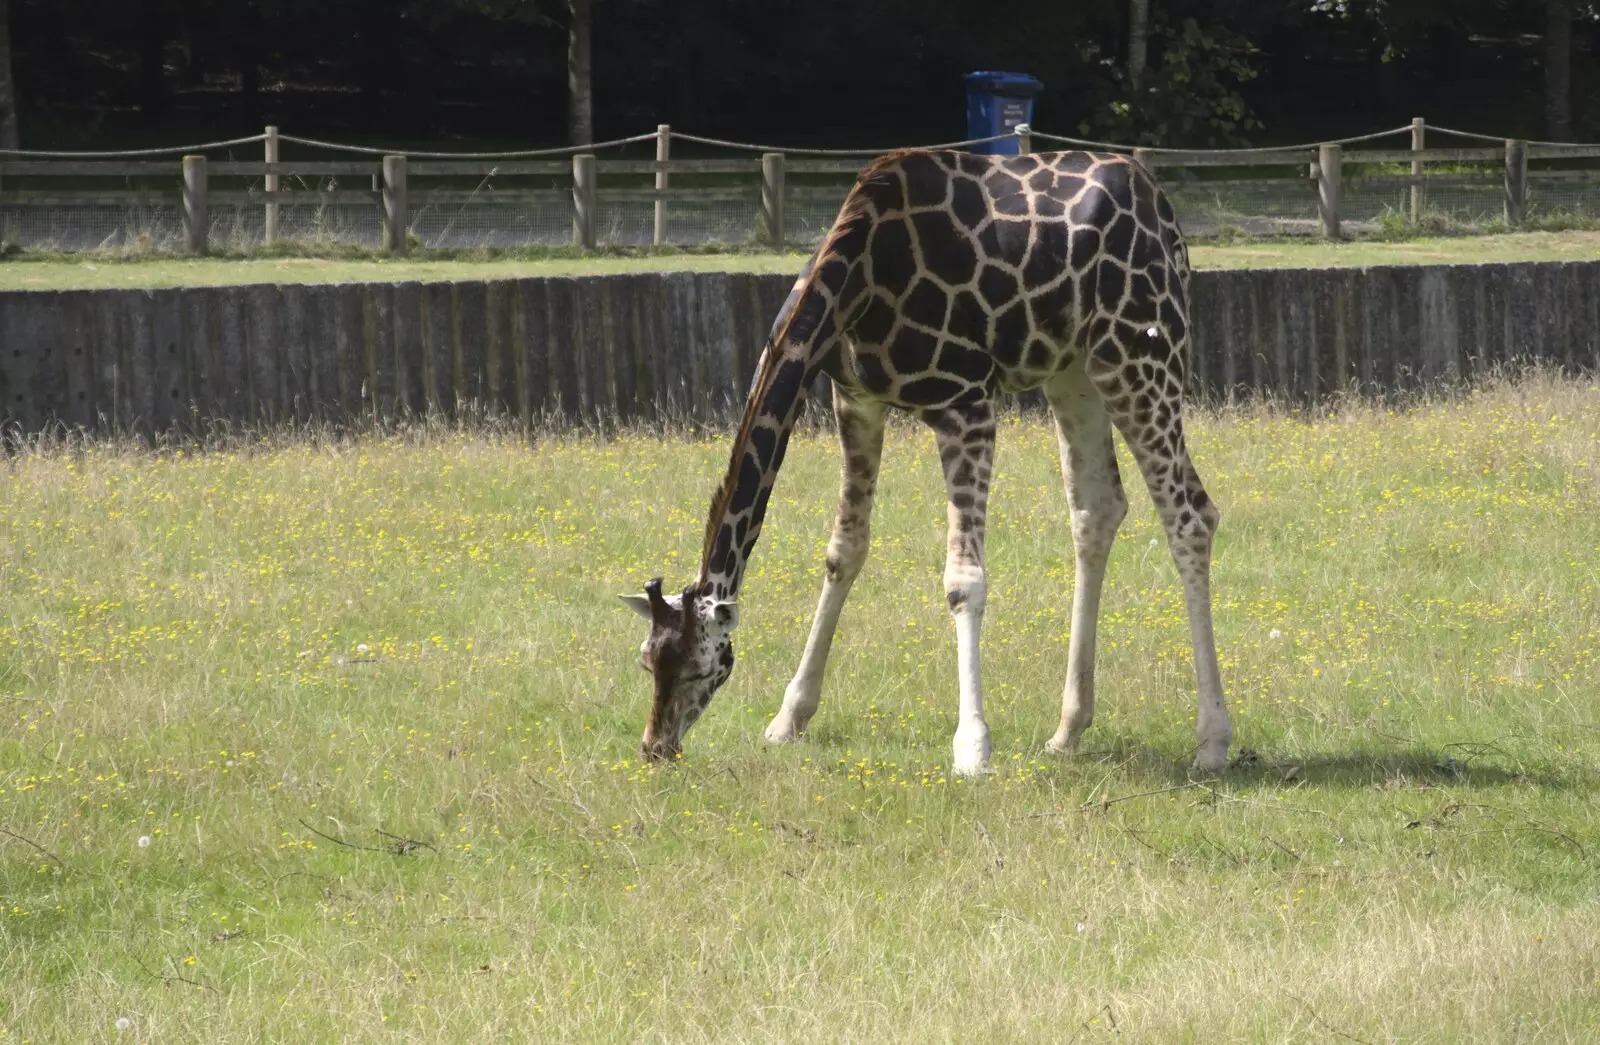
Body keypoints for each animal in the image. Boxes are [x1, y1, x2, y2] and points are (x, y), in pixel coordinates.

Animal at [617, 146, 1228, 771]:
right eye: (646, 660)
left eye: (701, 668)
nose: (656, 746)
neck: (859, 271)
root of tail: (1162, 210)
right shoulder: (855, 399)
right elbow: (843, 553)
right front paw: (788, 718)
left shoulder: (965, 404)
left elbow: (963, 581)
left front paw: (972, 746)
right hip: (1075, 369)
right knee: (1097, 509)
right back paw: (1067, 732)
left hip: (1140, 353)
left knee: (1190, 515)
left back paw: (1212, 741)